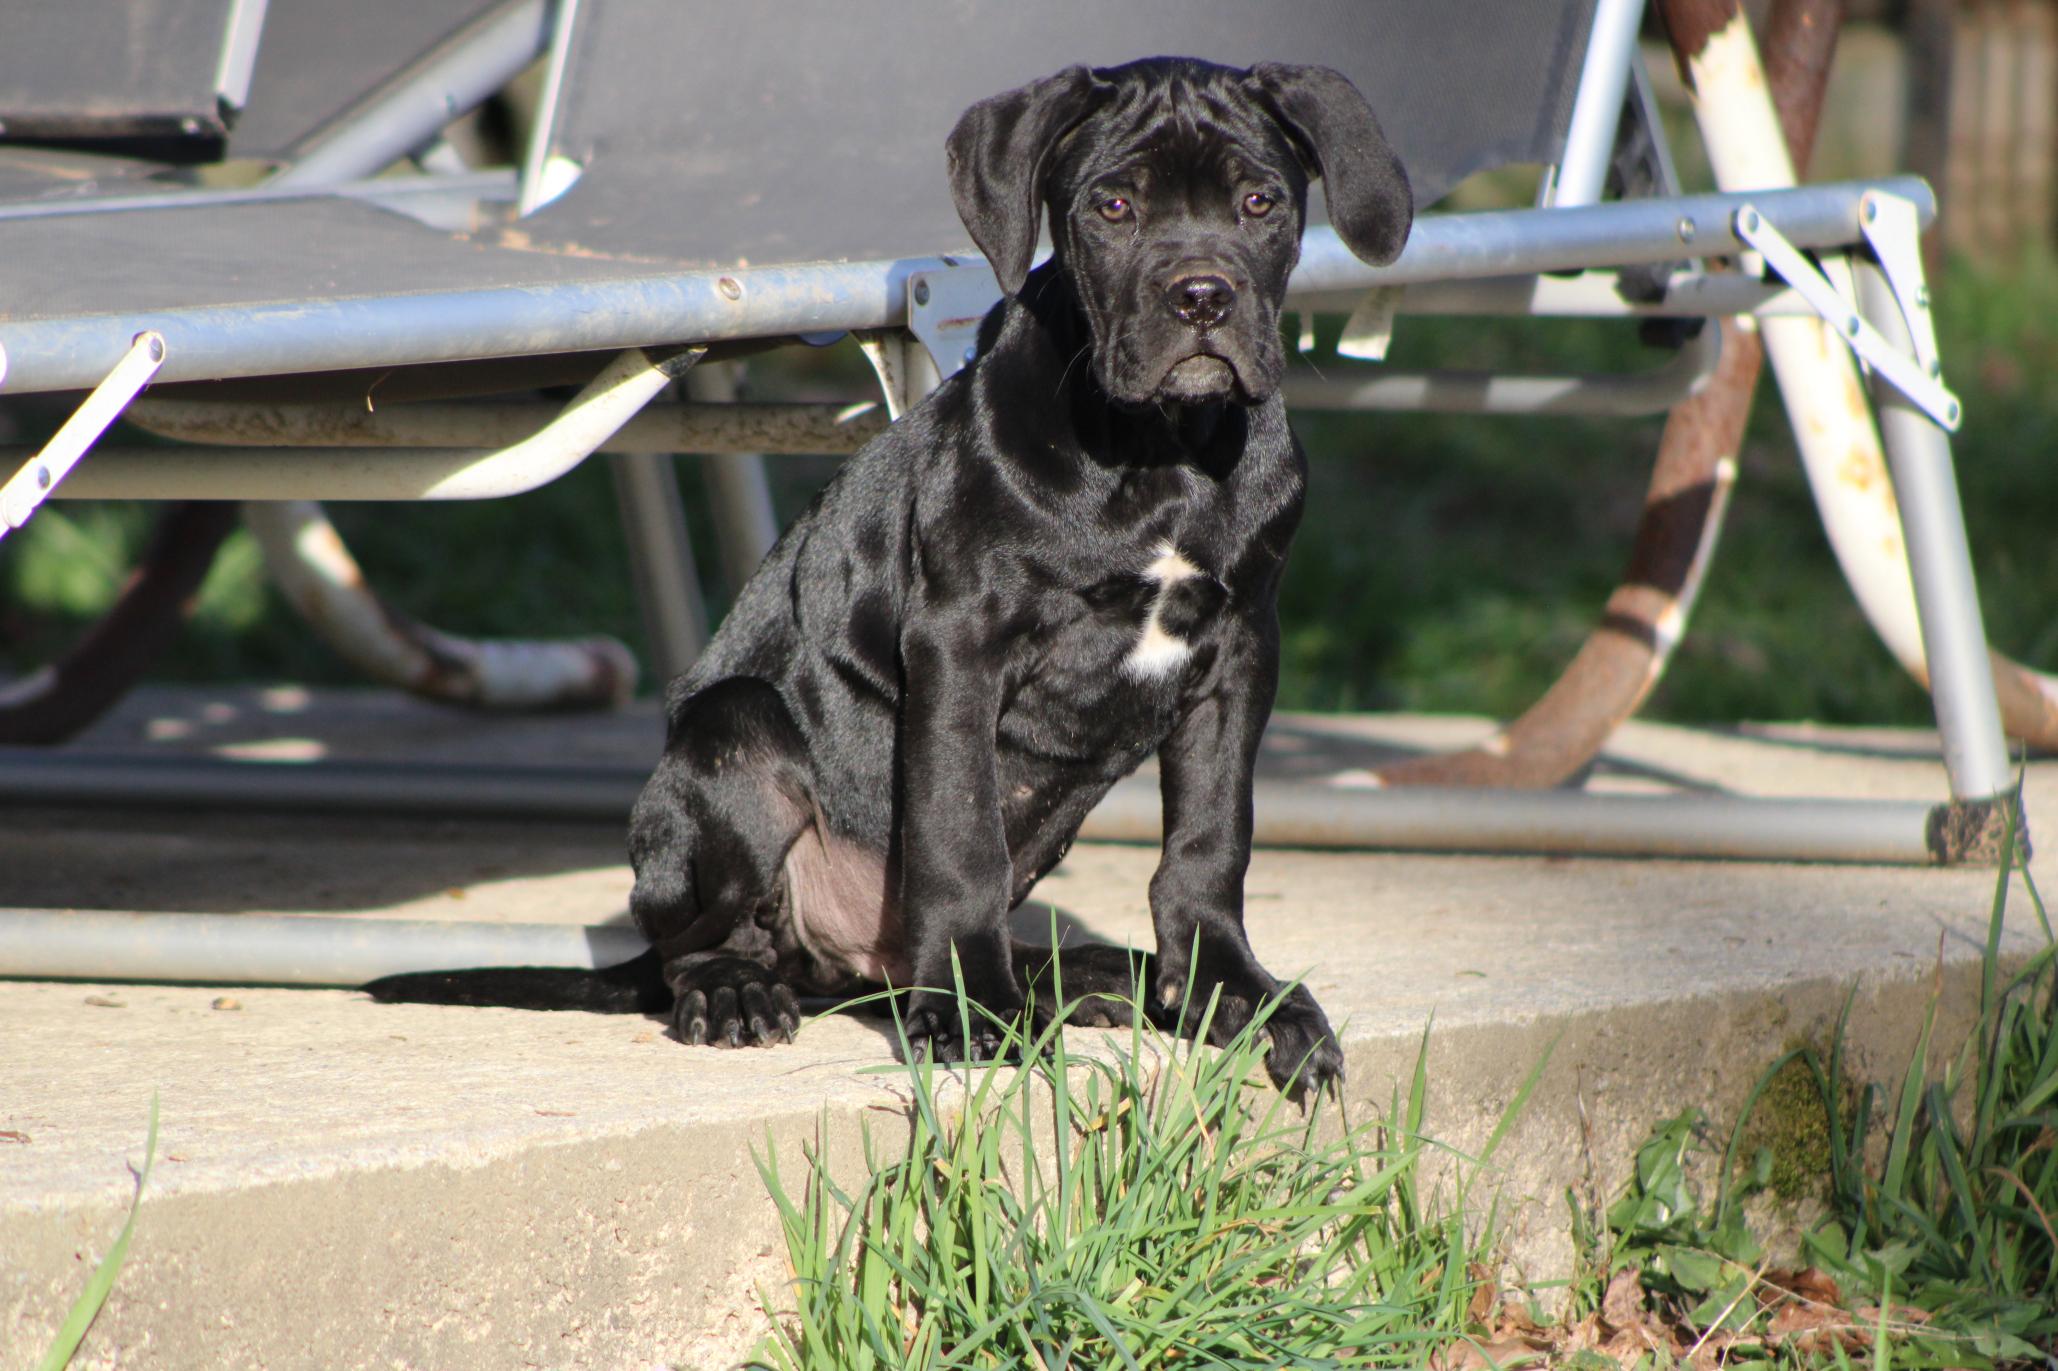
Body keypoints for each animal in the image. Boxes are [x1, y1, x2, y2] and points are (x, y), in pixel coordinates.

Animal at [370, 58, 1407, 1086]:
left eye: (1259, 201)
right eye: (1113, 206)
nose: (1201, 297)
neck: (1161, 454)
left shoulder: (1240, 652)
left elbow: (1208, 841)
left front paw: (1234, 994)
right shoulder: (960, 644)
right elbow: (959, 836)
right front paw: (972, 1008)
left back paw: (1083, 975)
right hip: (736, 734)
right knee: (692, 945)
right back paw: (753, 991)